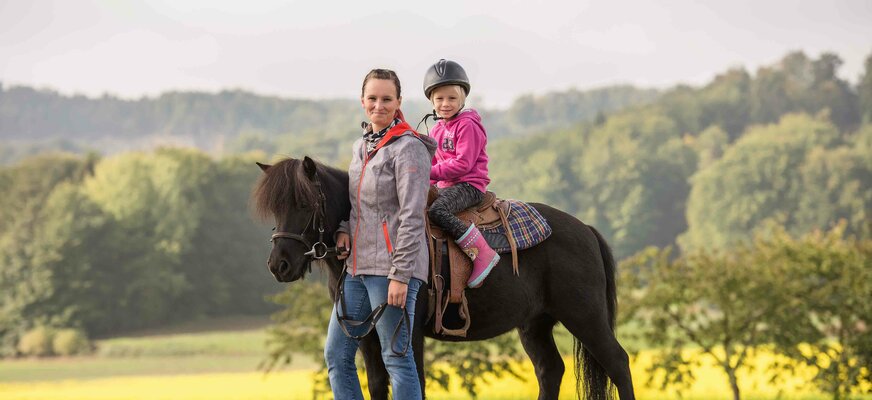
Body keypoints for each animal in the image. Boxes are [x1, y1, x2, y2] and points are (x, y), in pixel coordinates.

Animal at [252, 157, 632, 400]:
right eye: (275, 208)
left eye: (304, 203)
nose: (278, 264)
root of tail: (586, 230)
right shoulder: (365, 336)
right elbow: (377, 385)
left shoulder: (406, 333)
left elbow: (414, 382)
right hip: (535, 325)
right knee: (550, 371)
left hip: (585, 316)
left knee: (617, 362)